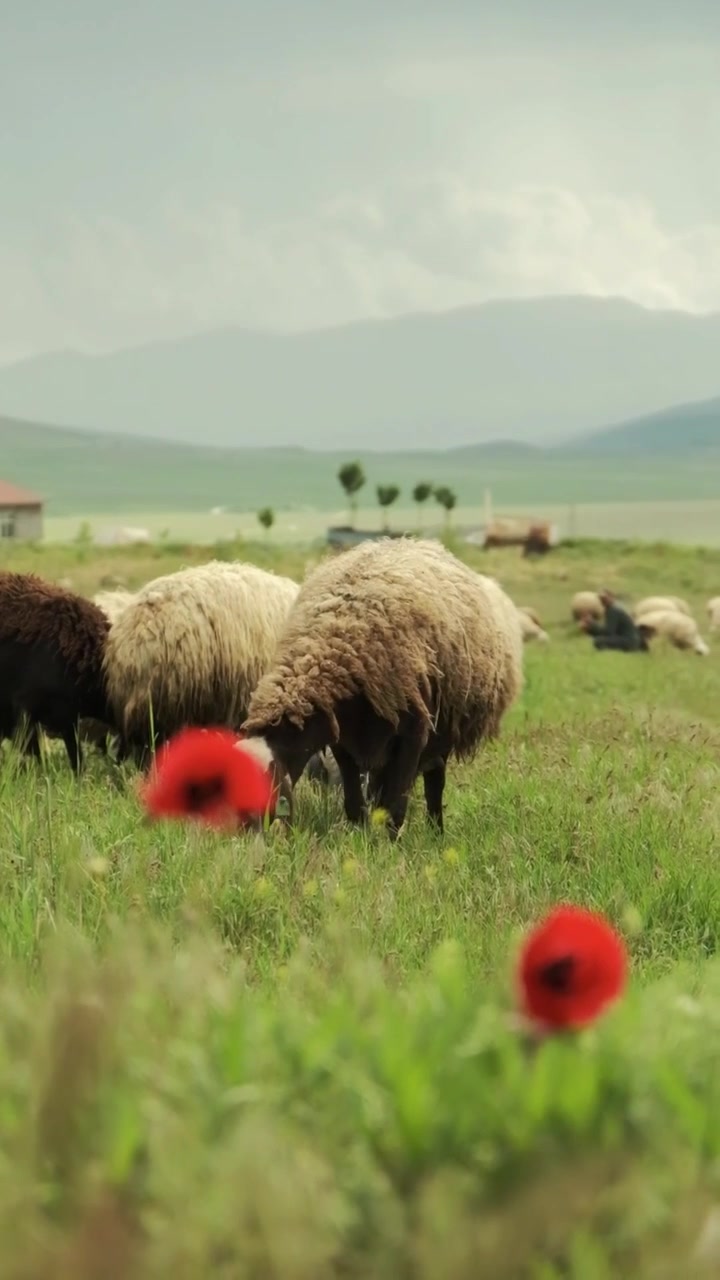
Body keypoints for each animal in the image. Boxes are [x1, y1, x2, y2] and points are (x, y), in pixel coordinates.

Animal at [242, 537, 524, 838]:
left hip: (441, 733)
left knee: (434, 783)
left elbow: (396, 804)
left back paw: (436, 833)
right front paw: (361, 838)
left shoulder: (413, 736)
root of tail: (416, 541)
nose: (249, 835)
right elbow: (355, 803)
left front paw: (389, 845)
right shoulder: (345, 743)